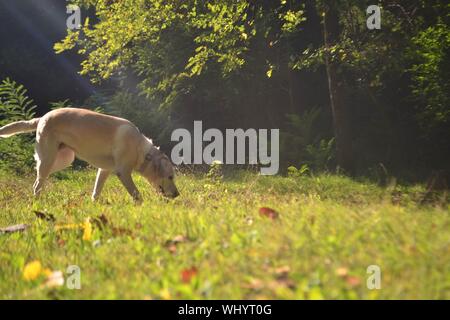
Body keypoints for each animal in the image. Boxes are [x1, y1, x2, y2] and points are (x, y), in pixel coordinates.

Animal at [0, 108, 178, 202]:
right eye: (170, 177)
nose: (177, 195)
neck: (140, 149)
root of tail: (42, 117)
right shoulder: (123, 172)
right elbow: (137, 194)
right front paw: (142, 207)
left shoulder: (104, 170)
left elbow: (96, 191)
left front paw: (94, 205)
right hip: (49, 159)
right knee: (37, 184)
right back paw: (37, 203)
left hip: (62, 160)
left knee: (37, 177)